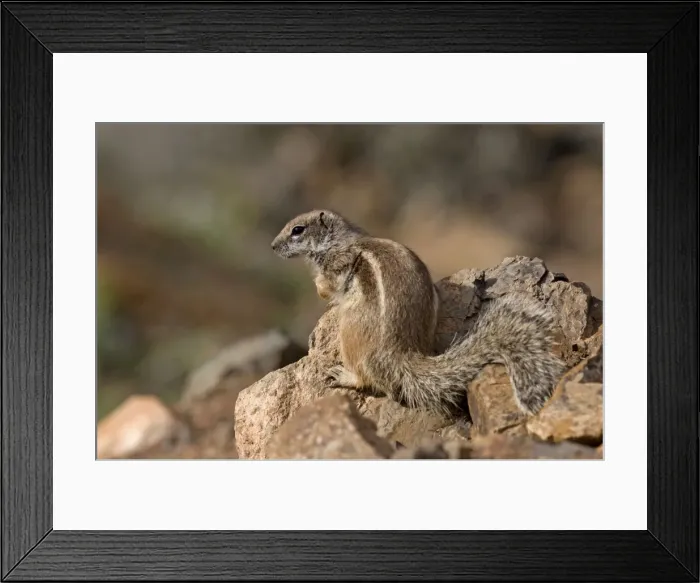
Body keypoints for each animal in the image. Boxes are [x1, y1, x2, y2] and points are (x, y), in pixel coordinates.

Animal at [271, 209, 565, 417]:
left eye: (297, 230)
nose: (273, 247)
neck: (340, 239)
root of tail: (401, 354)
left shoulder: (336, 266)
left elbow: (326, 287)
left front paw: (323, 293)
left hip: (350, 332)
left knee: (365, 379)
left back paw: (343, 376)